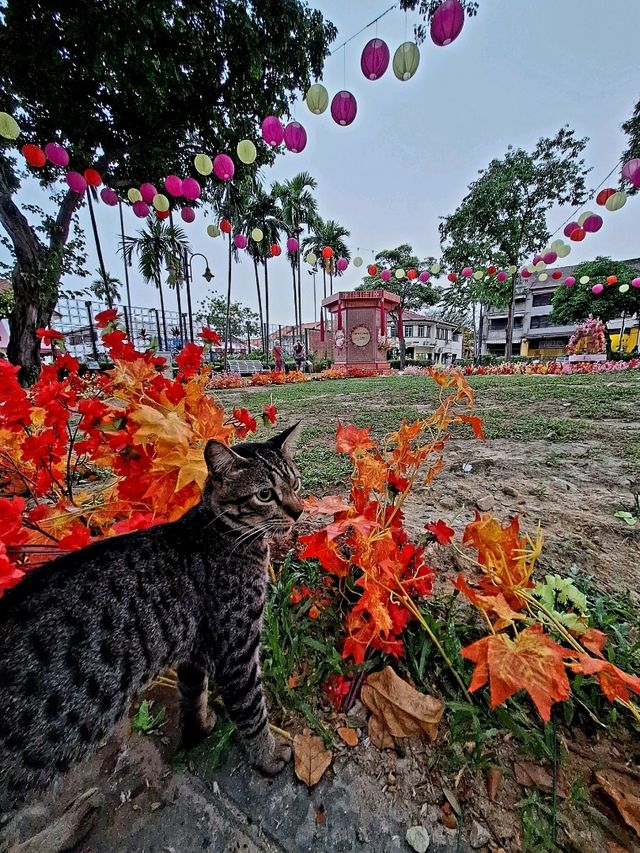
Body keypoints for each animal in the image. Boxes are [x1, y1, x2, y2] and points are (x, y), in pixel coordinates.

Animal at [0, 422, 302, 812]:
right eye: (265, 494)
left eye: (294, 484)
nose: (298, 511)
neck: (222, 535)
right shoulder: (236, 651)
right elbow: (252, 710)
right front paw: (267, 755)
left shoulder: (194, 650)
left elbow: (193, 694)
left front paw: (199, 728)